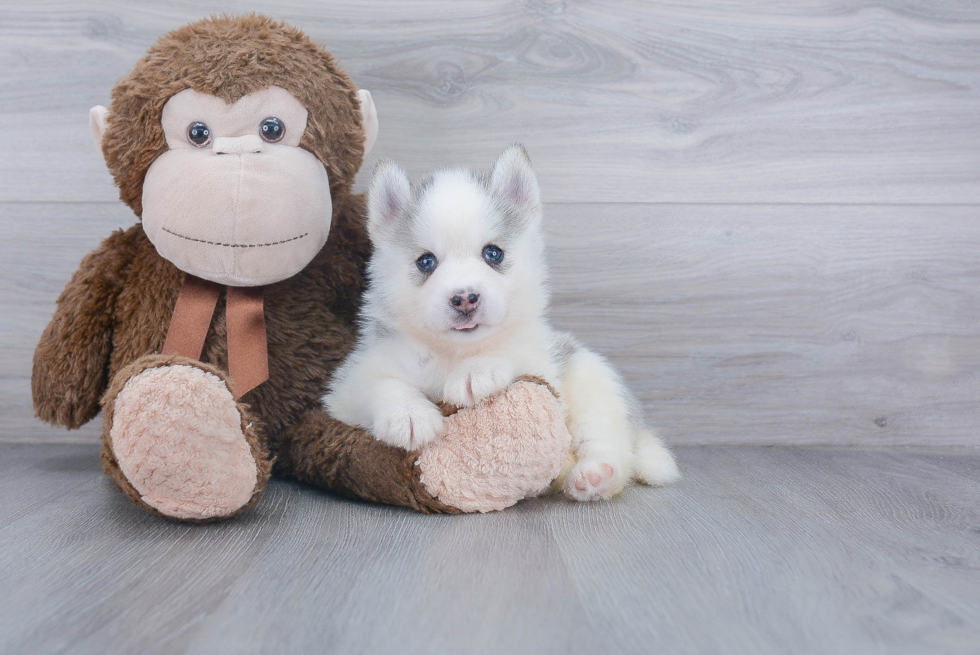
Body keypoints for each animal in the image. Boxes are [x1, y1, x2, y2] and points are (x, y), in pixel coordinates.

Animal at [326, 146, 676, 500]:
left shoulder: (542, 362)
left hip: (593, 382)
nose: (465, 298)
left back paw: (595, 476)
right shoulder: (348, 385)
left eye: (493, 253)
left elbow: (512, 352)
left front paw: (477, 371)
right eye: (426, 261)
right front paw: (407, 414)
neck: (454, 353)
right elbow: (381, 384)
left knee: (611, 444)